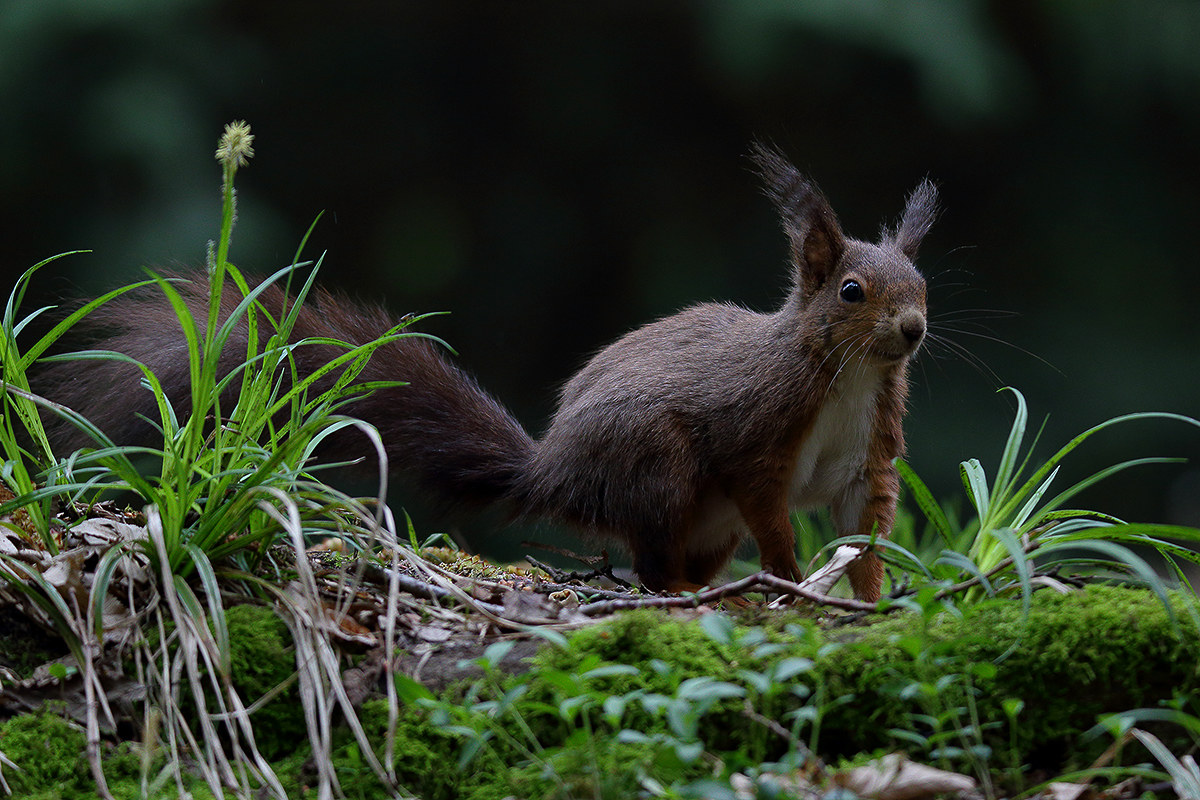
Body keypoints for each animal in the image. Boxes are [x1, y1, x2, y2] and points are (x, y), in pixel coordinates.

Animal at [34, 144, 937, 602]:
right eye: (852, 291)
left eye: (923, 284)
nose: (914, 330)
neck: (848, 375)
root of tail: (552, 471)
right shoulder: (759, 431)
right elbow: (772, 510)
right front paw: (790, 583)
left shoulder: (870, 455)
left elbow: (864, 528)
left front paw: (870, 599)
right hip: (659, 466)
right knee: (651, 560)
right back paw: (691, 593)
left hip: (702, 519)